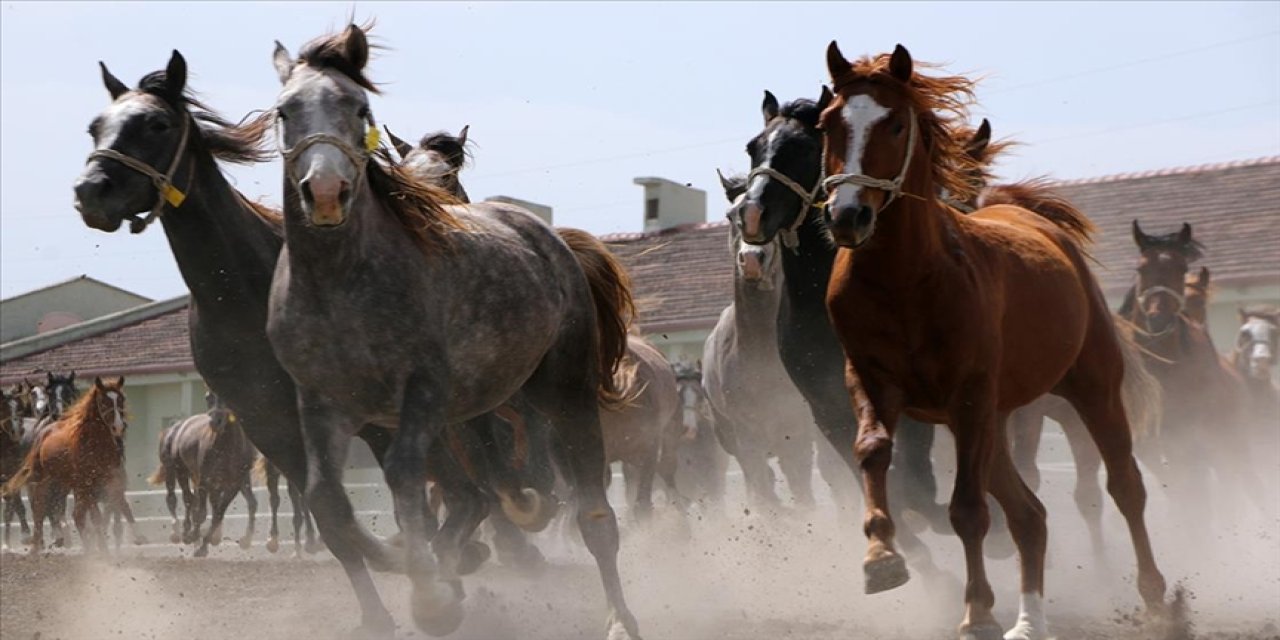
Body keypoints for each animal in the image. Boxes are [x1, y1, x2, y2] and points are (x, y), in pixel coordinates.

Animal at [3, 376, 131, 552]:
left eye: (121, 399)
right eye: (104, 401)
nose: (119, 427)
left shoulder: (110, 481)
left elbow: (116, 510)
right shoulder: (86, 485)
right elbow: (94, 517)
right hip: (42, 480)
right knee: (36, 507)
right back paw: (32, 543)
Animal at [149, 389, 257, 555]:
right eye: (208, 396)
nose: (216, 421)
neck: (228, 446)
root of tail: (174, 428)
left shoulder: (235, 483)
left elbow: (219, 512)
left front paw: (206, 543)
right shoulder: (206, 479)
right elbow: (201, 512)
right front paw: (196, 538)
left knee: (195, 501)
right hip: (175, 469)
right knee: (178, 498)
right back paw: (179, 532)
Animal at [808, 45, 1172, 640]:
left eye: (895, 122)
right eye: (828, 123)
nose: (847, 216)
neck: (906, 278)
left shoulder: (969, 393)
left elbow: (967, 510)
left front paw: (977, 611)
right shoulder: (870, 380)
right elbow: (873, 450)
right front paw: (881, 558)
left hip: (1089, 387)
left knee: (1125, 485)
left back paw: (1157, 599)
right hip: (992, 420)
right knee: (1031, 516)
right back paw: (1029, 622)